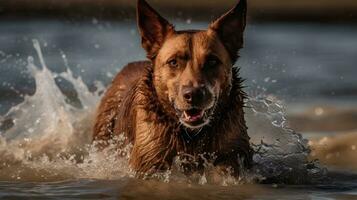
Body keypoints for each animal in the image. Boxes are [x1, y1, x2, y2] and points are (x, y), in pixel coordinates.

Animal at [93, 0, 252, 177]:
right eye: (173, 62)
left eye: (212, 61)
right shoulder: (150, 159)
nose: (194, 94)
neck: (192, 136)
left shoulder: (234, 149)